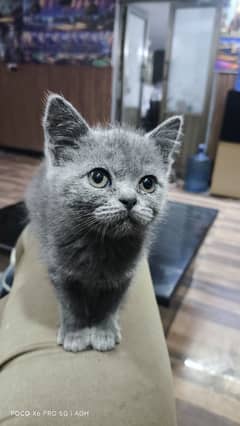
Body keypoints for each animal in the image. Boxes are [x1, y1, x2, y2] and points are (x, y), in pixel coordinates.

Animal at [25, 95, 182, 352]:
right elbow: (70, 304)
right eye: (98, 177)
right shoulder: (60, 270)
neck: (102, 245)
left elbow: (110, 303)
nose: (129, 200)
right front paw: (76, 333)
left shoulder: (125, 274)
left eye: (148, 183)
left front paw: (103, 331)